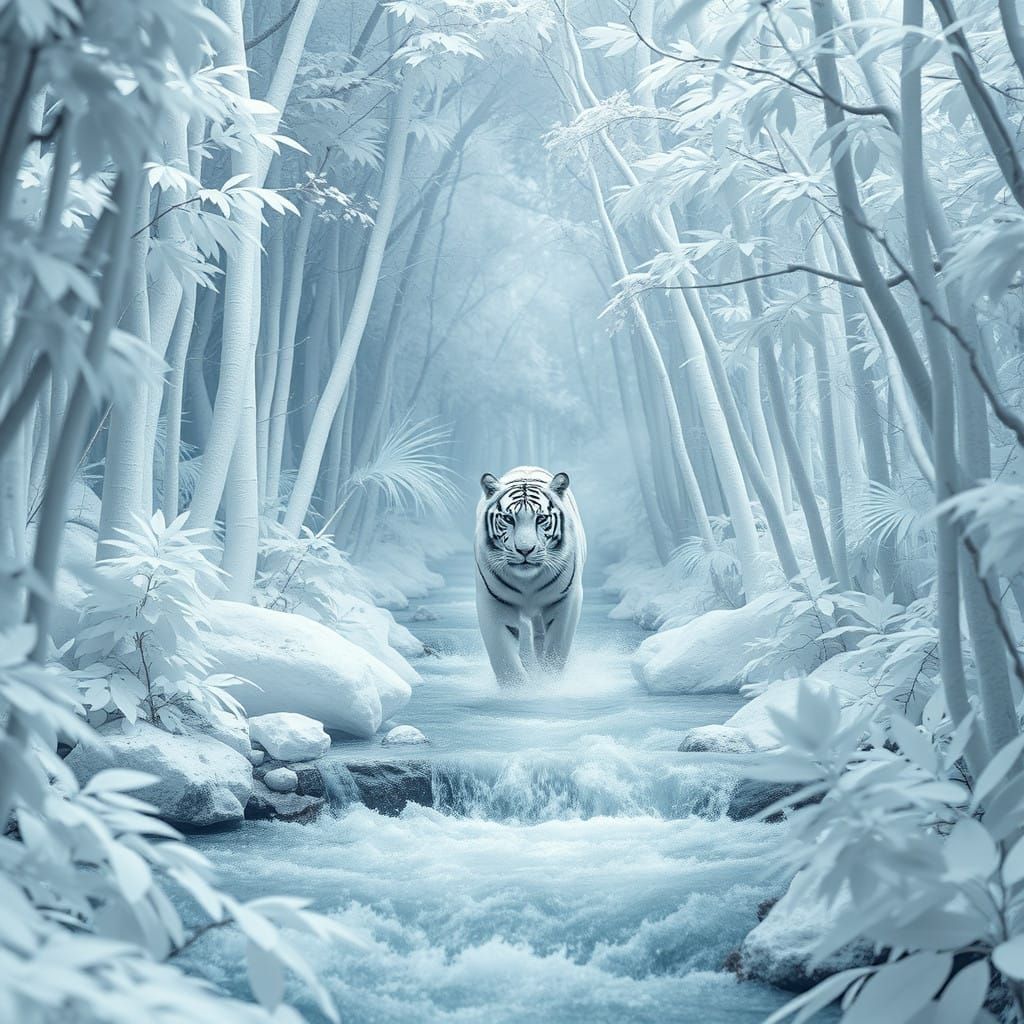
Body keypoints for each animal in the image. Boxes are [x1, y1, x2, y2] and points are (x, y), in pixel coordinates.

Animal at [474, 465, 586, 686]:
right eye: (508, 519)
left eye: (541, 518)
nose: (525, 550)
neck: (528, 583)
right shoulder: (494, 601)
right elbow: (503, 656)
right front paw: (517, 688)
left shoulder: (566, 599)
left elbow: (557, 646)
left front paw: (549, 681)